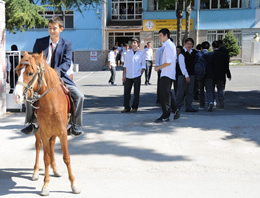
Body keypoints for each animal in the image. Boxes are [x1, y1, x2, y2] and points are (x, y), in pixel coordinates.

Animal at [13, 51, 79, 196]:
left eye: (30, 73)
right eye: (17, 71)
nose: (16, 96)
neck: (52, 104)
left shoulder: (62, 132)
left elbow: (66, 157)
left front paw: (74, 184)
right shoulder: (43, 132)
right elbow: (45, 158)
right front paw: (45, 186)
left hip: (54, 132)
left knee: (52, 145)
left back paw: (55, 169)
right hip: (39, 132)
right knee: (39, 147)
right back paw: (36, 172)